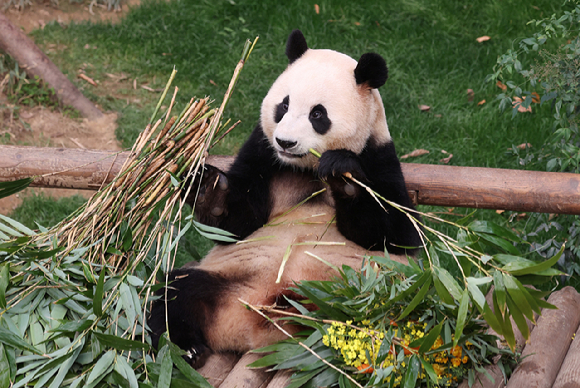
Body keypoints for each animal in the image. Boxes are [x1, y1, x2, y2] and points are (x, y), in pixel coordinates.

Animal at [150, 30, 422, 360]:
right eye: (283, 105)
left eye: (318, 114)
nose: (285, 142)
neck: (305, 167)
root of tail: (252, 330)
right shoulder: (262, 153)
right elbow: (237, 226)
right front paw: (207, 189)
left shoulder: (379, 155)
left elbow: (397, 234)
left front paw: (343, 176)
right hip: (226, 278)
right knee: (174, 292)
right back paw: (185, 347)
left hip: (372, 299)